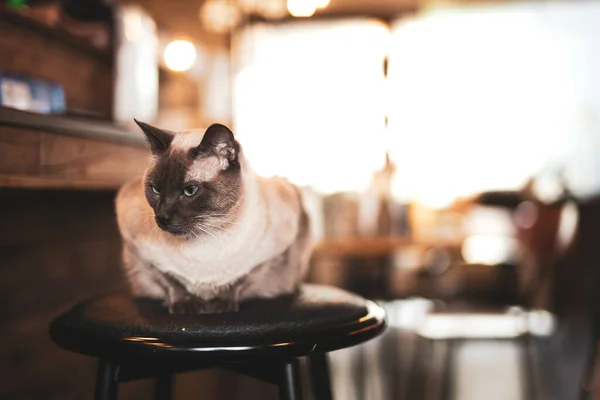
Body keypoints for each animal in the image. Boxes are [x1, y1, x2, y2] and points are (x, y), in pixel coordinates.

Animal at [115, 120, 316, 314]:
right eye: (155, 190)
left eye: (190, 190)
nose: (163, 217)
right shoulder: (140, 251)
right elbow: (172, 280)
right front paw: (186, 305)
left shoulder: (267, 258)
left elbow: (238, 280)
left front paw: (221, 304)